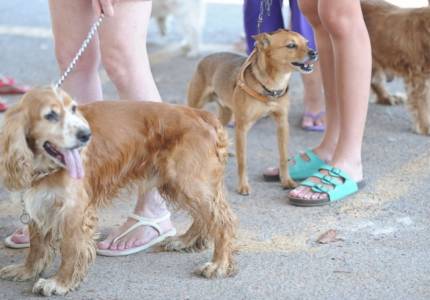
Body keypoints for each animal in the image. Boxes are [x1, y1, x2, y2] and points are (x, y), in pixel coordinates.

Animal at [0, 86, 237, 296]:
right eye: (50, 115)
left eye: (73, 109)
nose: (86, 135)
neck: (46, 166)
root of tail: (202, 114)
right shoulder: (39, 203)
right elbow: (37, 245)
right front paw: (26, 270)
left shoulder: (75, 210)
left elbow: (70, 249)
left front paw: (60, 282)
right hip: (179, 183)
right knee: (205, 216)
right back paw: (185, 241)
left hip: (188, 180)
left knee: (223, 221)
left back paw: (218, 264)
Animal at [186, 29, 318, 195]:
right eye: (291, 45)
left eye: (307, 43)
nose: (314, 52)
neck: (273, 85)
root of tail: (205, 58)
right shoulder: (242, 128)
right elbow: (242, 161)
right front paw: (243, 186)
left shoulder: (282, 124)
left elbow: (283, 157)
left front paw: (286, 181)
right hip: (196, 106)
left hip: (226, 112)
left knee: (219, 127)